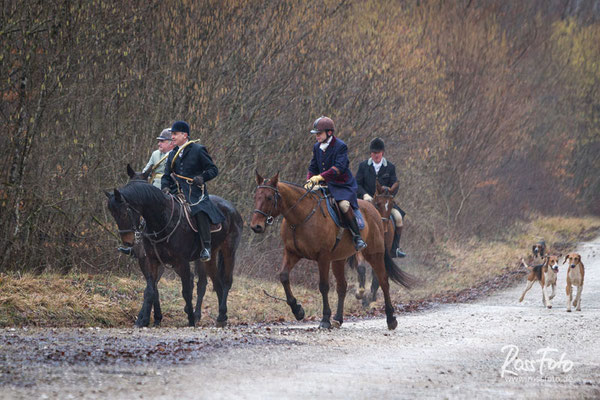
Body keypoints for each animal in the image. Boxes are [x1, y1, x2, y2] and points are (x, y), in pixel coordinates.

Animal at [250, 170, 412, 330]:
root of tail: (375, 212)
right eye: (255, 196)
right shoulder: (292, 253)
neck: (301, 217)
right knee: (342, 286)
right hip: (339, 259)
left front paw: (325, 319)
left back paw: (390, 319)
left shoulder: (323, 257)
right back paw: (338, 319)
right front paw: (298, 310)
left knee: (383, 281)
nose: (256, 226)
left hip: (374, 254)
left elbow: (323, 286)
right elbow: (283, 276)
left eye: (269, 197)